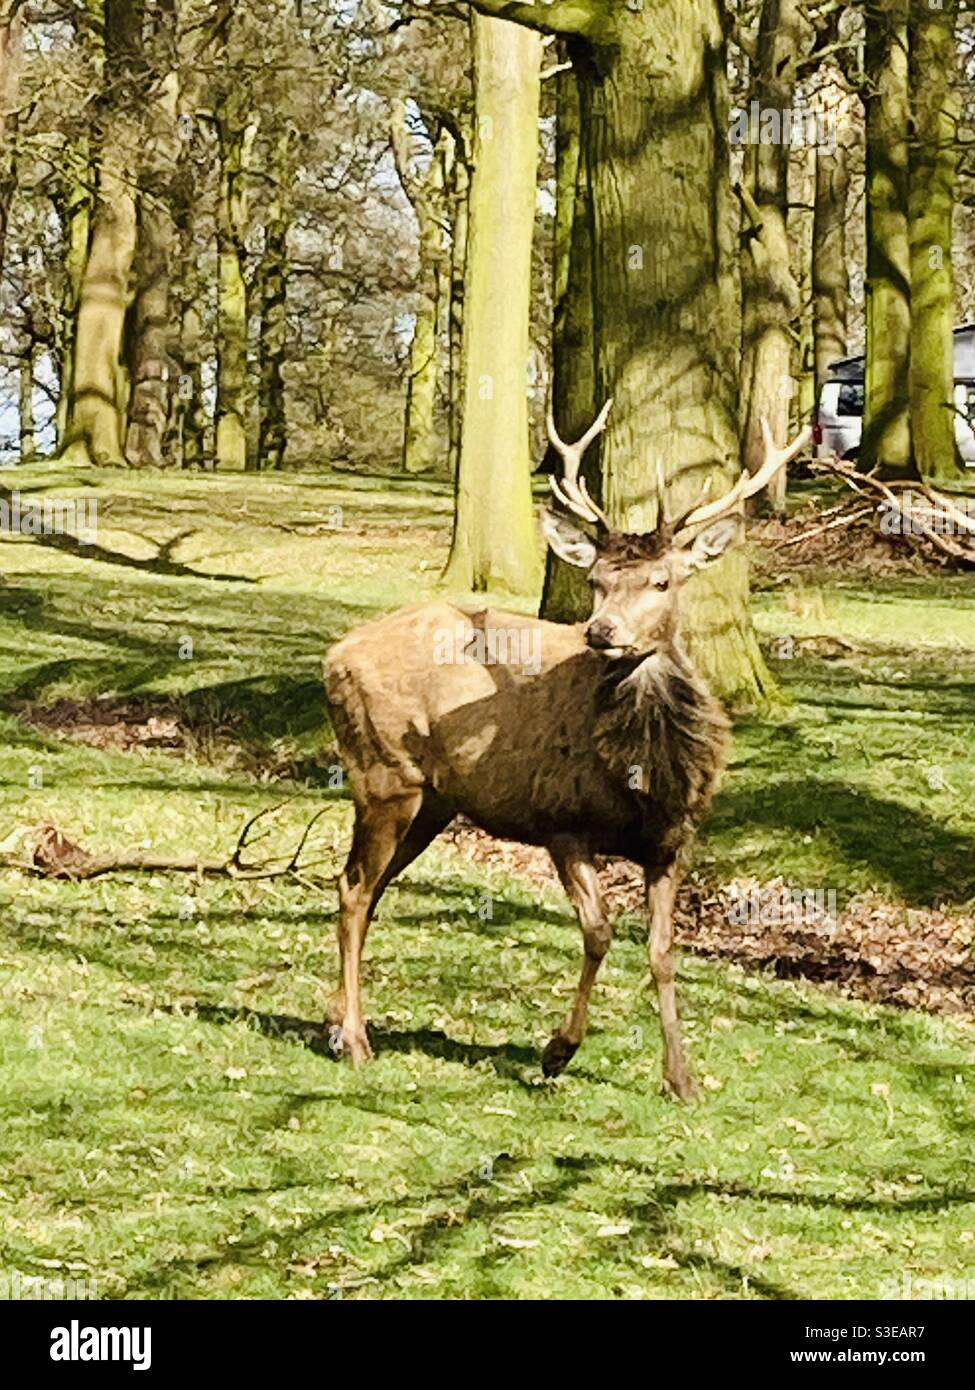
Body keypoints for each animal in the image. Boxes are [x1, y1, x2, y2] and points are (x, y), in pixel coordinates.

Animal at [323, 406, 810, 1097]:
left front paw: (682, 1079)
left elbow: (662, 951)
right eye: (596, 579)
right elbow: (599, 932)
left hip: (434, 802)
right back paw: (359, 1041)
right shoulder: (561, 821)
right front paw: (557, 1050)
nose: (600, 630)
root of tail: (332, 655)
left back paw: (339, 1026)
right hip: (384, 775)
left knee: (369, 888)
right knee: (353, 888)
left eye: (662, 580)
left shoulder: (673, 841)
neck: (645, 777)